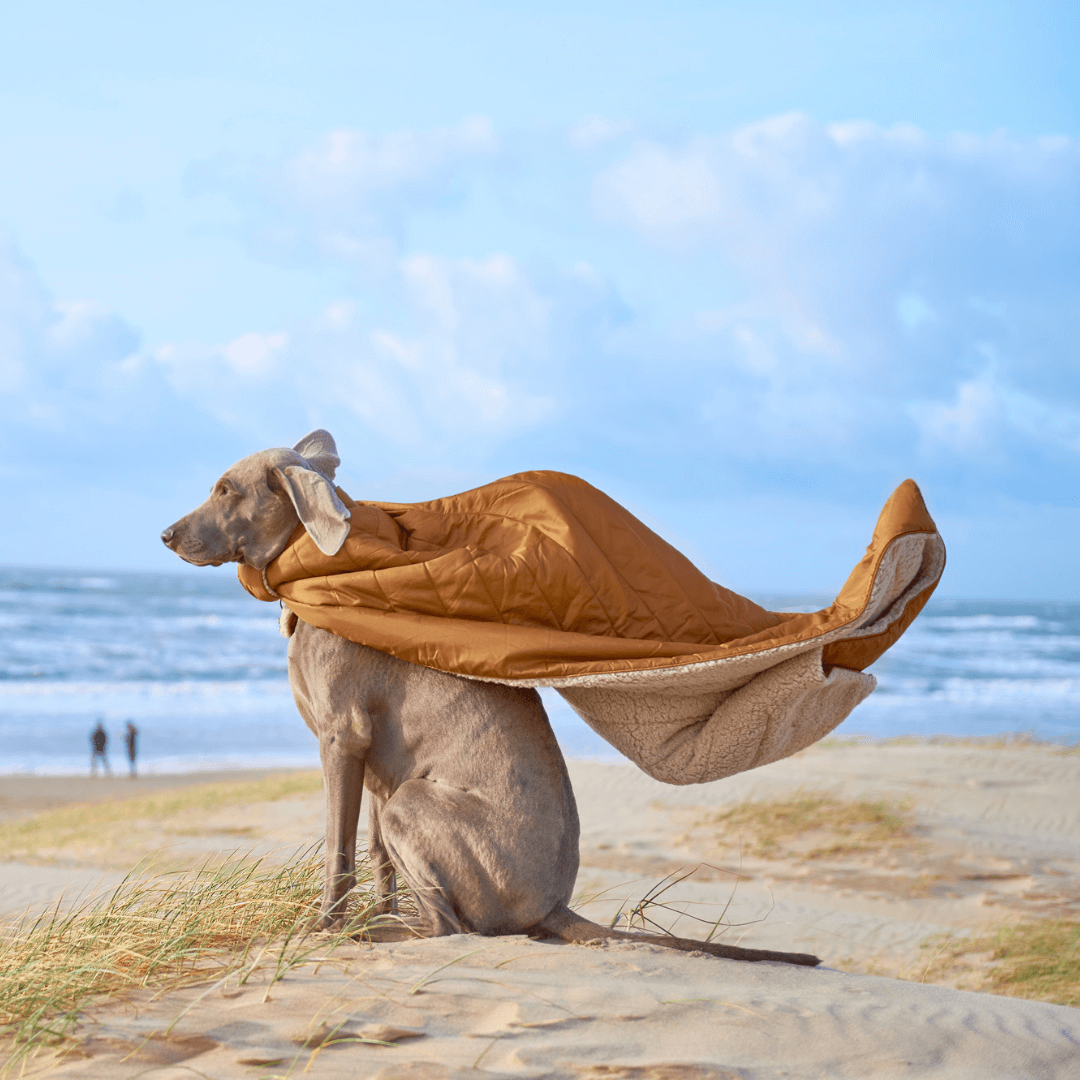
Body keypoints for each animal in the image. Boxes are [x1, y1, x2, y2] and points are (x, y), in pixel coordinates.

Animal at [159, 434, 816, 967]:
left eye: (226, 489)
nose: (164, 535)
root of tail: (551, 905)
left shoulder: (342, 739)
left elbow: (339, 851)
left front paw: (325, 927)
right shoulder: (372, 763)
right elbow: (375, 856)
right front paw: (372, 911)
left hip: (414, 799)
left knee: (451, 927)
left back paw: (373, 934)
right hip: (401, 792)